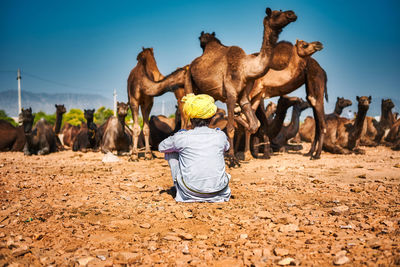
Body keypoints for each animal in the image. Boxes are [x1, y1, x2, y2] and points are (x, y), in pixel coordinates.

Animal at [184, 7, 296, 165]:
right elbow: (231, 128)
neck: (247, 68)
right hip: (189, 80)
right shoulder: (230, 95)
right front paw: (232, 159)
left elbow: (255, 125)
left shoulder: (243, 97)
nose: (292, 14)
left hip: (206, 92)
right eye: (276, 14)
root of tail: (191, 65)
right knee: (186, 117)